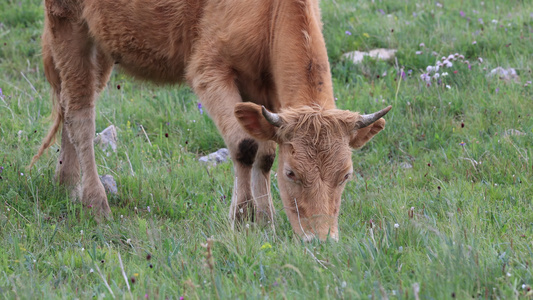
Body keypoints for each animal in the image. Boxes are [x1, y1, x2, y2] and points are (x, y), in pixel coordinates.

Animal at [34, 0, 390, 240]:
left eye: (346, 175)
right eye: (291, 173)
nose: (320, 239)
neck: (271, 15)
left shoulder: (265, 88)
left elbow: (265, 153)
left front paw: (266, 221)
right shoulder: (209, 68)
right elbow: (245, 145)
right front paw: (242, 217)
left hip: (102, 44)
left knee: (69, 104)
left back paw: (66, 183)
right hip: (68, 22)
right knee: (81, 114)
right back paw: (95, 203)